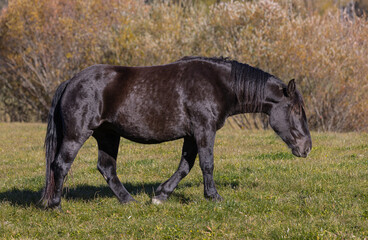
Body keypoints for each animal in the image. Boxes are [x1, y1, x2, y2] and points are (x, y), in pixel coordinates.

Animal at [39, 56, 310, 208]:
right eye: (296, 109)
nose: (306, 147)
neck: (217, 84)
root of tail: (71, 82)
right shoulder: (204, 130)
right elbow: (207, 164)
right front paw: (214, 197)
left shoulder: (191, 135)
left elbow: (184, 167)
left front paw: (161, 195)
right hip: (77, 134)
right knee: (61, 165)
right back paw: (55, 204)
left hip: (108, 136)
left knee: (106, 168)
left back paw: (129, 202)